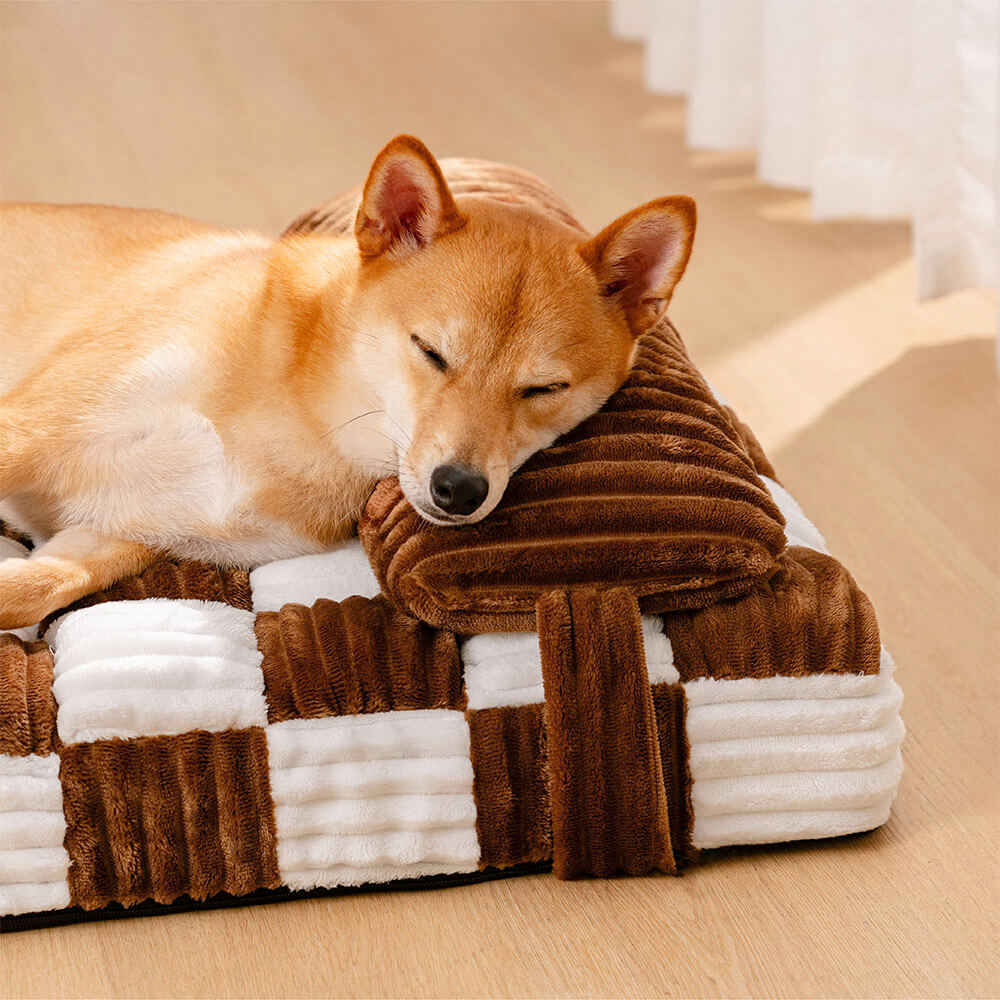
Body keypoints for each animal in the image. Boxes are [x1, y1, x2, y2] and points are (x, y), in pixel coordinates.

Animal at [0, 133, 696, 624]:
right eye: (431, 352)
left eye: (543, 389)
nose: (459, 490)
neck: (302, 419)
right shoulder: (27, 429)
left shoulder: (127, 528)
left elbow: (30, 592)